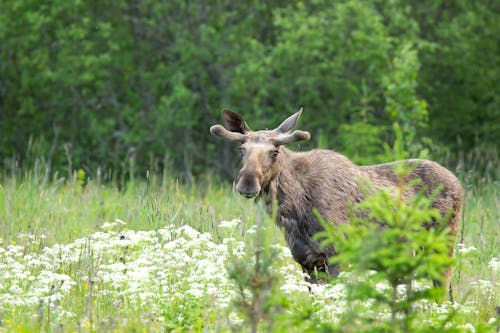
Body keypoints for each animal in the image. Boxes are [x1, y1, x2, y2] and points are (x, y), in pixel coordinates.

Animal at [209, 109, 462, 290]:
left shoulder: (337, 255)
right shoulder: (306, 261)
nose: (247, 183)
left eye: (275, 151)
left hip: (442, 244)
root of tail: (458, 183)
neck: (293, 212)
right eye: (242, 150)